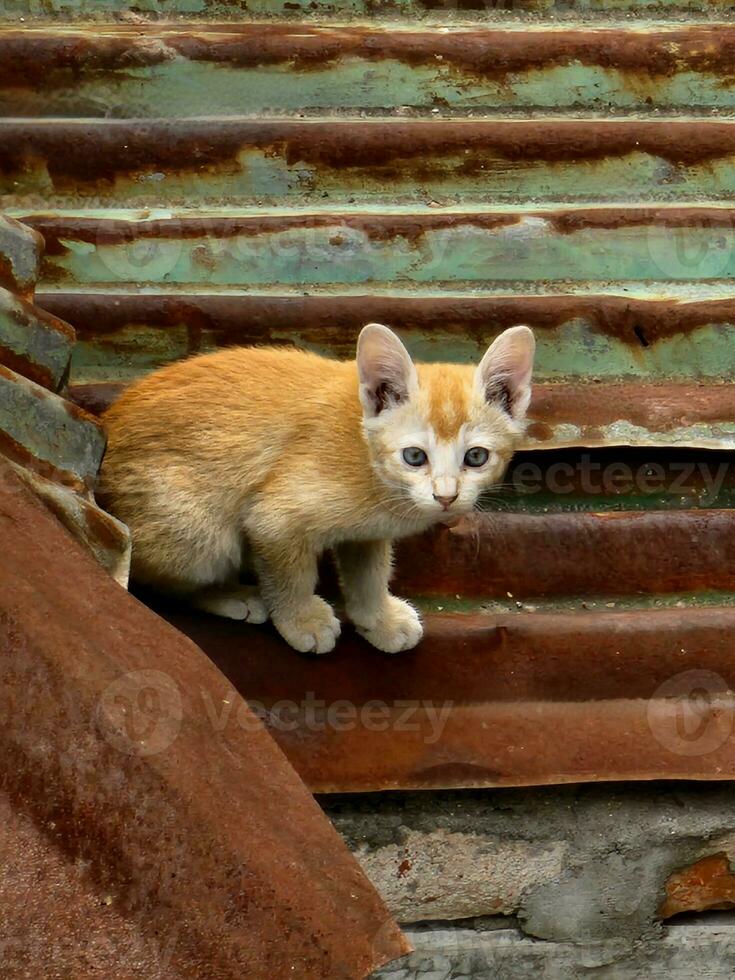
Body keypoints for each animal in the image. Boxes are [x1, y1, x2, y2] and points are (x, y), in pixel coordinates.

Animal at [99, 326, 536, 656]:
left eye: (476, 457)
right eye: (414, 456)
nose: (446, 496)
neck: (367, 457)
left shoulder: (369, 532)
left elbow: (369, 571)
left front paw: (377, 617)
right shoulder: (273, 519)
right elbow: (291, 573)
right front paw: (300, 620)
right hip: (197, 533)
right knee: (155, 583)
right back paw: (231, 594)